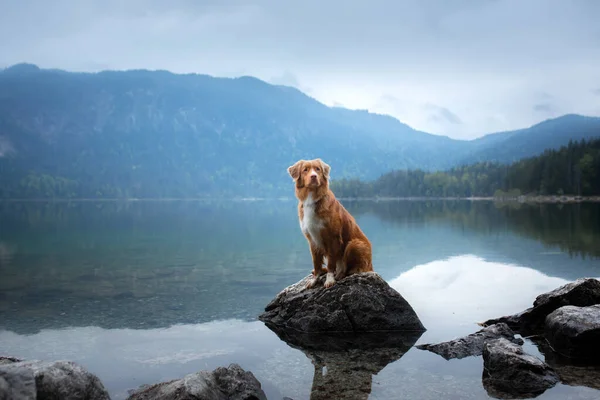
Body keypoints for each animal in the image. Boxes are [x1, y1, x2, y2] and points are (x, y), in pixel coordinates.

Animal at [288, 158, 376, 290]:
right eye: (305, 170)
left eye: (318, 169)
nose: (314, 176)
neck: (312, 198)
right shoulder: (312, 239)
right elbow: (316, 262)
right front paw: (315, 279)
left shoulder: (333, 238)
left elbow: (331, 263)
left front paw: (329, 280)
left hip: (354, 244)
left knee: (351, 270)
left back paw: (339, 274)